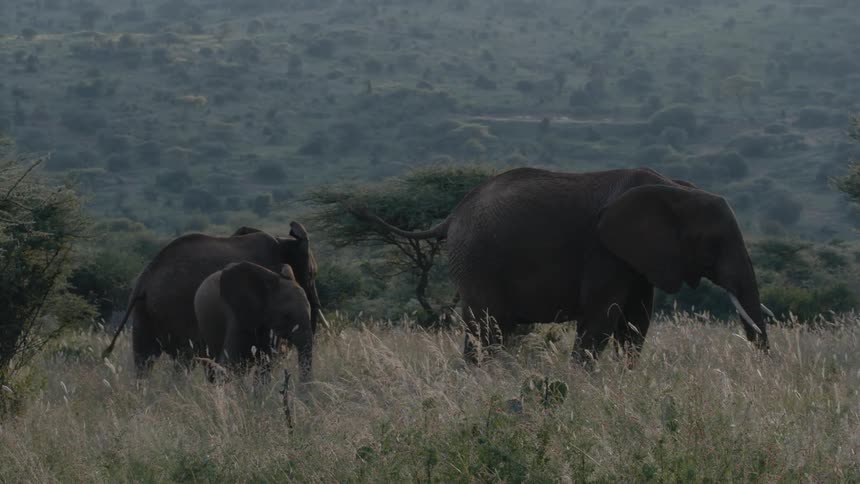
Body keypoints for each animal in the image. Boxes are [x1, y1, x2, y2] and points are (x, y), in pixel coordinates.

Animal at [103, 222, 326, 375]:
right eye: (313, 274)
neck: (284, 242)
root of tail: (143, 281)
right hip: (175, 309)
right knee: (182, 359)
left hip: (144, 312)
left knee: (145, 360)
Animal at [358, 167, 772, 364]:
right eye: (713, 243)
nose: (762, 365)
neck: (674, 188)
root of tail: (451, 216)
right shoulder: (604, 251)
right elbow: (602, 316)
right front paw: (582, 381)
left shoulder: (639, 257)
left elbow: (636, 322)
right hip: (476, 261)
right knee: (488, 328)